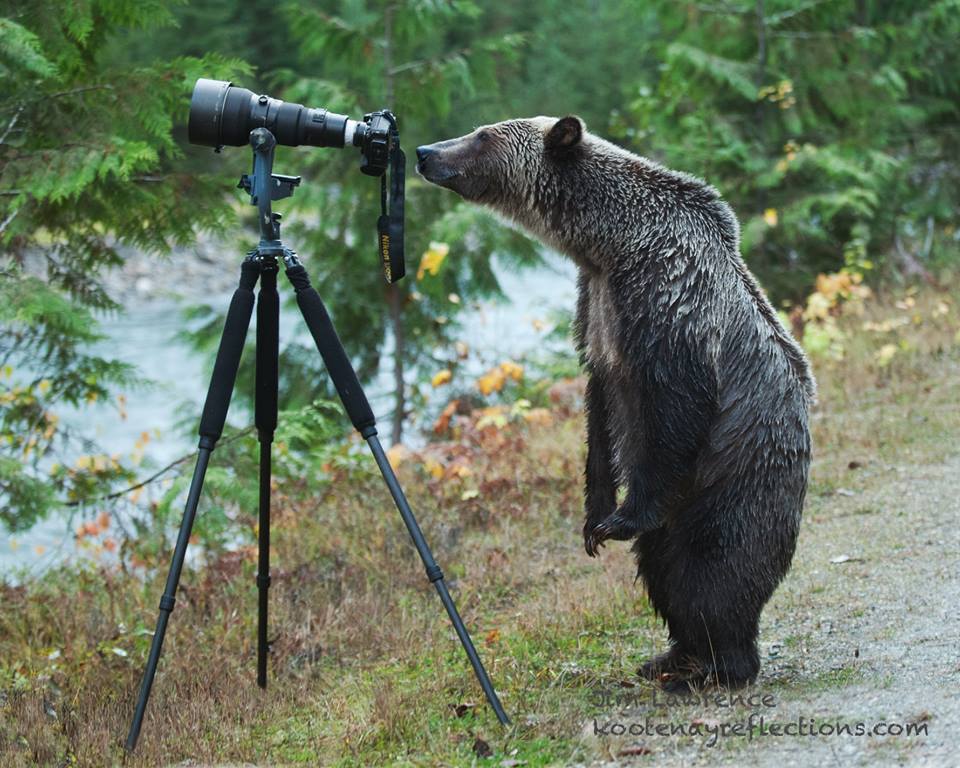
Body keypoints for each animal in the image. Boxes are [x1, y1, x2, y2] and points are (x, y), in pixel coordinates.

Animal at [416, 117, 812, 692]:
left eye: (483, 135)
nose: (425, 151)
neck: (608, 246)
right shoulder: (596, 311)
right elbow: (599, 414)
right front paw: (594, 519)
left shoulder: (666, 302)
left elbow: (674, 408)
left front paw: (618, 520)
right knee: (662, 569)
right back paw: (672, 656)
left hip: (734, 481)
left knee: (712, 571)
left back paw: (716, 666)